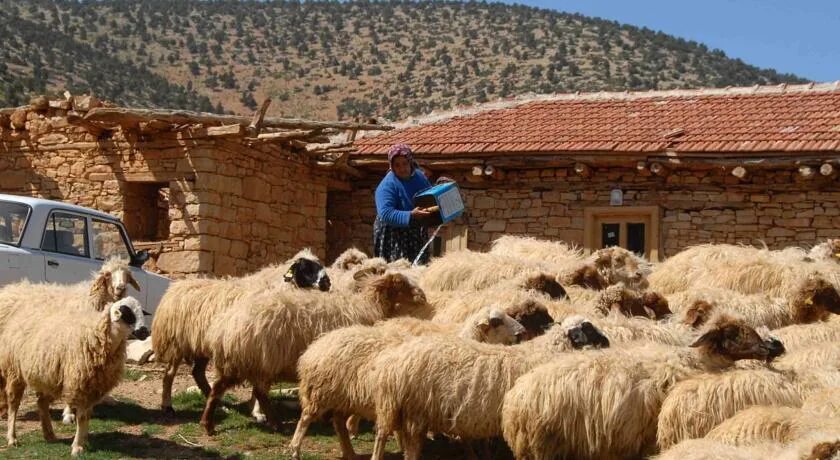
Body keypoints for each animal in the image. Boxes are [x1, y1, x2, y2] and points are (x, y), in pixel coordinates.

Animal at [0, 296, 149, 454]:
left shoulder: (94, 387)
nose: (145, 332)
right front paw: (77, 447)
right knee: (14, 404)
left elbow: (87, 416)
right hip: (15, 371)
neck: (96, 336)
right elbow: (82, 417)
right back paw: (12, 438)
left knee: (41, 403)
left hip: (50, 377)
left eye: (141, 312)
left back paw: (49, 434)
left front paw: (83, 440)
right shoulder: (81, 385)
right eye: (127, 313)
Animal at [199, 274, 430, 434]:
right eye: (401, 284)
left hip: (246, 363)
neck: (369, 306)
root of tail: (223, 327)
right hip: (252, 361)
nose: (423, 297)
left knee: (241, 391)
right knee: (237, 391)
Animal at [288, 306, 524, 460]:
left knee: (338, 422)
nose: (522, 333)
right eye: (497, 321)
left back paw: (350, 452)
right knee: (306, 418)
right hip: (322, 392)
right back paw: (295, 449)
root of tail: (317, 345)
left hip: (346, 397)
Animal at [368, 316, 612, 460]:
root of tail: (392, 363)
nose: (608, 341)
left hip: (403, 409)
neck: (547, 351)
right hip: (413, 411)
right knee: (391, 440)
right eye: (588, 328)